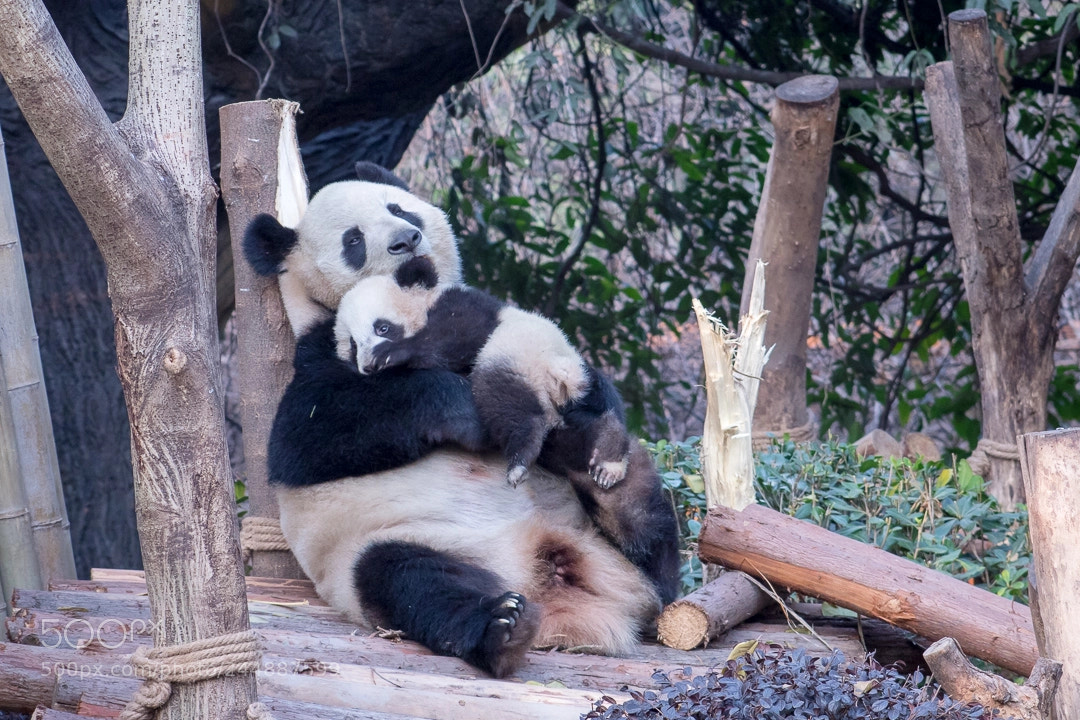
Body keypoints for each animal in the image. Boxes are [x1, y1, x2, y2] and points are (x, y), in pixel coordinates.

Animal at [243, 162, 681, 678]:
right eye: (353, 240)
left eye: (399, 208)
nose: (406, 240)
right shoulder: (314, 358)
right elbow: (305, 440)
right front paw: (466, 412)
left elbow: (578, 380)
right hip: (390, 543)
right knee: (412, 580)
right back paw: (503, 627)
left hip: (599, 535)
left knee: (648, 528)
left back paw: (618, 489)